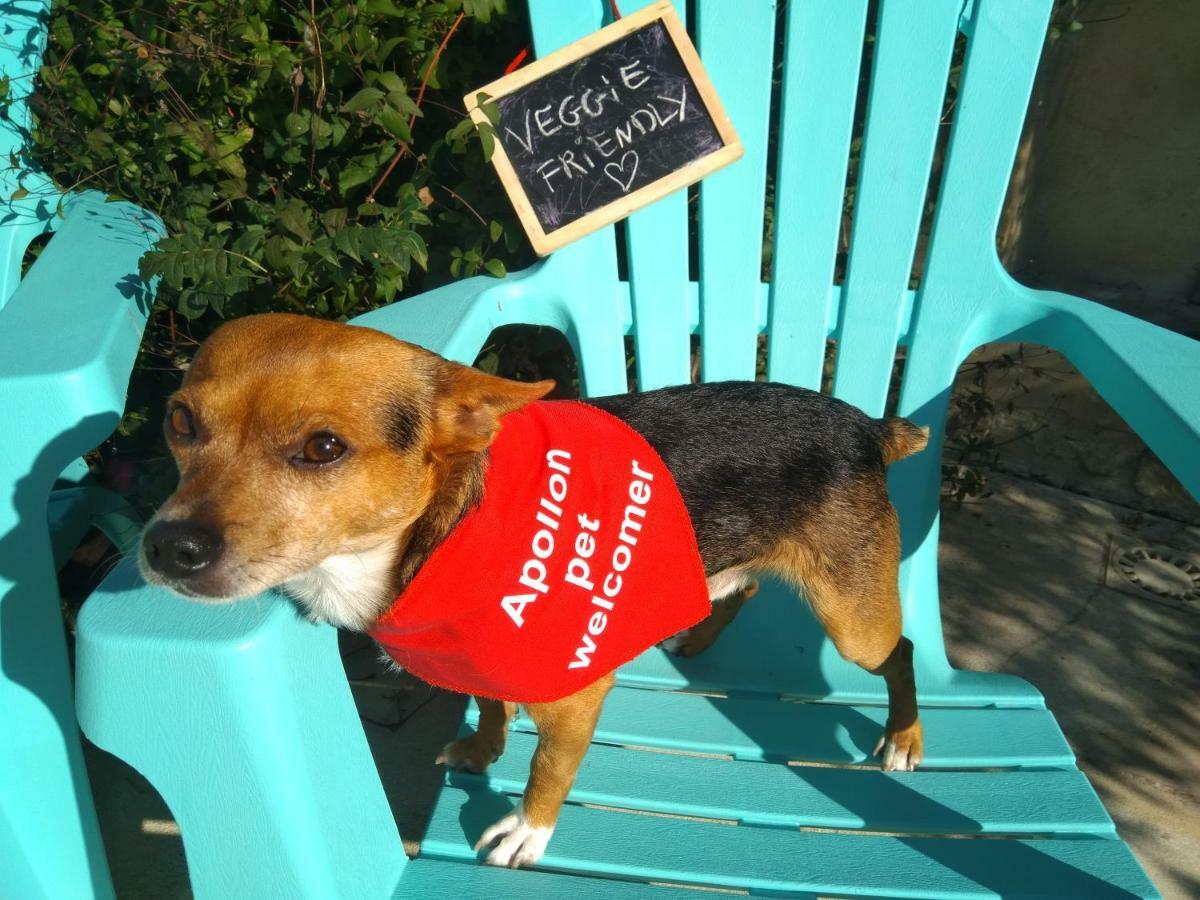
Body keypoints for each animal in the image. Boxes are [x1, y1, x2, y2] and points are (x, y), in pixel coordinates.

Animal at [138, 314, 926, 868]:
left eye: (323, 448)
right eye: (179, 421)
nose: (168, 548)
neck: (439, 540)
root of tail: (867, 425)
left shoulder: (576, 695)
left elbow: (550, 767)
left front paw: (529, 829)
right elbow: (491, 706)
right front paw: (484, 750)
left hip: (854, 626)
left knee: (902, 651)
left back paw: (904, 736)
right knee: (745, 591)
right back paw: (698, 636)